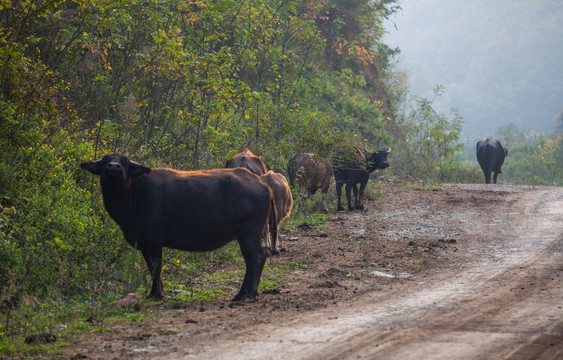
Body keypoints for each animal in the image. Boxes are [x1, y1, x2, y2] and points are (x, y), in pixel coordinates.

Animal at [81, 153, 278, 302]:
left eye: (125, 161)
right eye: (105, 160)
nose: (113, 167)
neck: (135, 193)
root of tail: (263, 184)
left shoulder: (153, 242)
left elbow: (155, 267)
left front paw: (156, 294)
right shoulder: (145, 245)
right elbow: (151, 267)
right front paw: (158, 291)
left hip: (250, 234)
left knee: (257, 258)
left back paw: (250, 295)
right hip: (244, 236)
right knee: (249, 261)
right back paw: (240, 294)